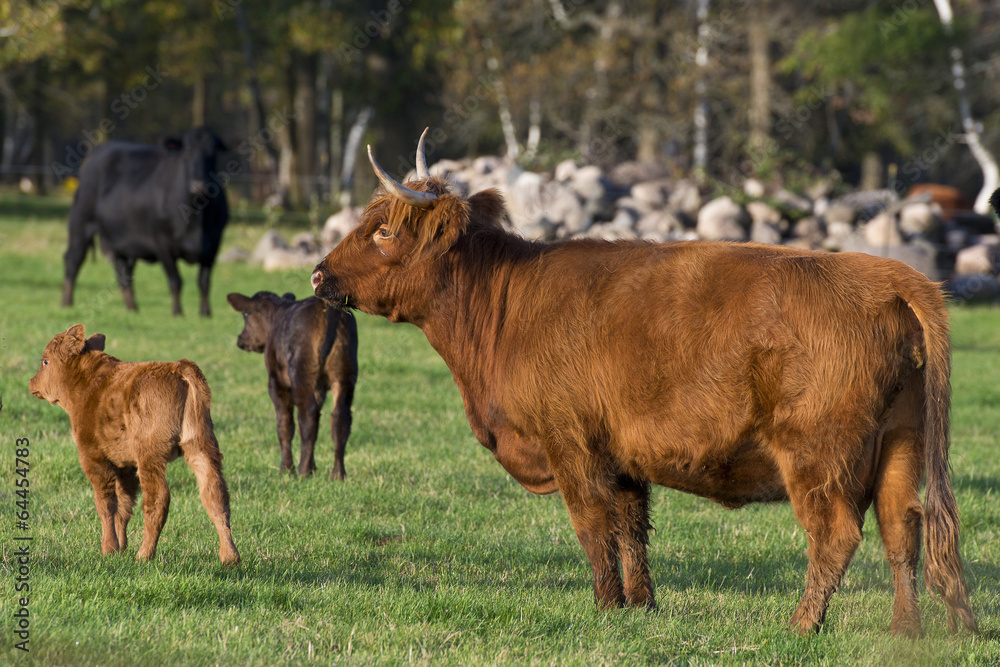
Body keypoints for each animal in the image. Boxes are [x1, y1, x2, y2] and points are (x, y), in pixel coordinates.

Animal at [28, 324, 240, 565]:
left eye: (45, 361)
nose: (32, 382)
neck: (88, 385)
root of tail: (178, 367)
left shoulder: (93, 457)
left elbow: (106, 504)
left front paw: (109, 549)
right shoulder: (125, 465)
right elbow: (124, 506)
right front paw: (120, 548)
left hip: (150, 456)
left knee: (158, 499)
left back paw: (144, 554)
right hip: (200, 447)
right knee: (215, 495)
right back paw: (230, 557)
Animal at [61, 126, 229, 316]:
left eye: (212, 153)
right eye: (187, 151)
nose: (199, 185)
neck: (196, 221)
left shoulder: (214, 243)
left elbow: (204, 282)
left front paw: (205, 314)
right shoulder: (162, 243)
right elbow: (176, 280)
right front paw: (177, 313)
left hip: (121, 242)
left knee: (123, 273)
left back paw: (132, 309)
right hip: (81, 222)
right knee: (73, 259)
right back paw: (67, 303)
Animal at [227, 291, 358, 480]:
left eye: (246, 314)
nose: (241, 340)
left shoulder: (276, 381)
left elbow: (284, 424)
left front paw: (287, 469)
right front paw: (313, 467)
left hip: (302, 372)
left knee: (307, 417)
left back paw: (303, 471)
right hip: (345, 374)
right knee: (340, 418)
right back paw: (338, 474)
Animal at [309, 131, 978, 637]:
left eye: (383, 233)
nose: (317, 273)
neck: (504, 308)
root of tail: (885, 273)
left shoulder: (571, 442)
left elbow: (592, 525)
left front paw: (605, 607)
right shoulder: (623, 455)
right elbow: (632, 529)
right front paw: (641, 607)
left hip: (818, 456)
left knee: (837, 535)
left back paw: (800, 626)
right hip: (900, 446)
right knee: (903, 528)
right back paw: (904, 632)